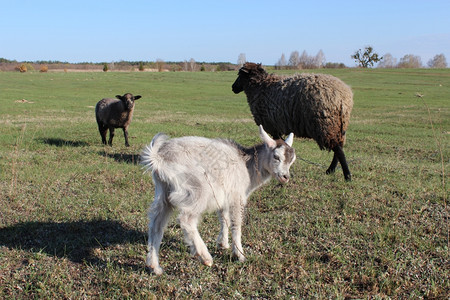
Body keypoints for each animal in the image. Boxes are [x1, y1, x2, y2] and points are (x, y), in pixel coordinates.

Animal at [141, 125, 296, 276]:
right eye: (276, 156)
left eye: (292, 160)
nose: (285, 177)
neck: (247, 166)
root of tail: (159, 158)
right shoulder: (237, 196)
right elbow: (236, 223)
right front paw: (239, 254)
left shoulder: (225, 197)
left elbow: (224, 219)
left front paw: (223, 244)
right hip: (197, 188)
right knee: (186, 219)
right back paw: (205, 257)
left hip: (163, 190)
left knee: (156, 223)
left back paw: (154, 266)